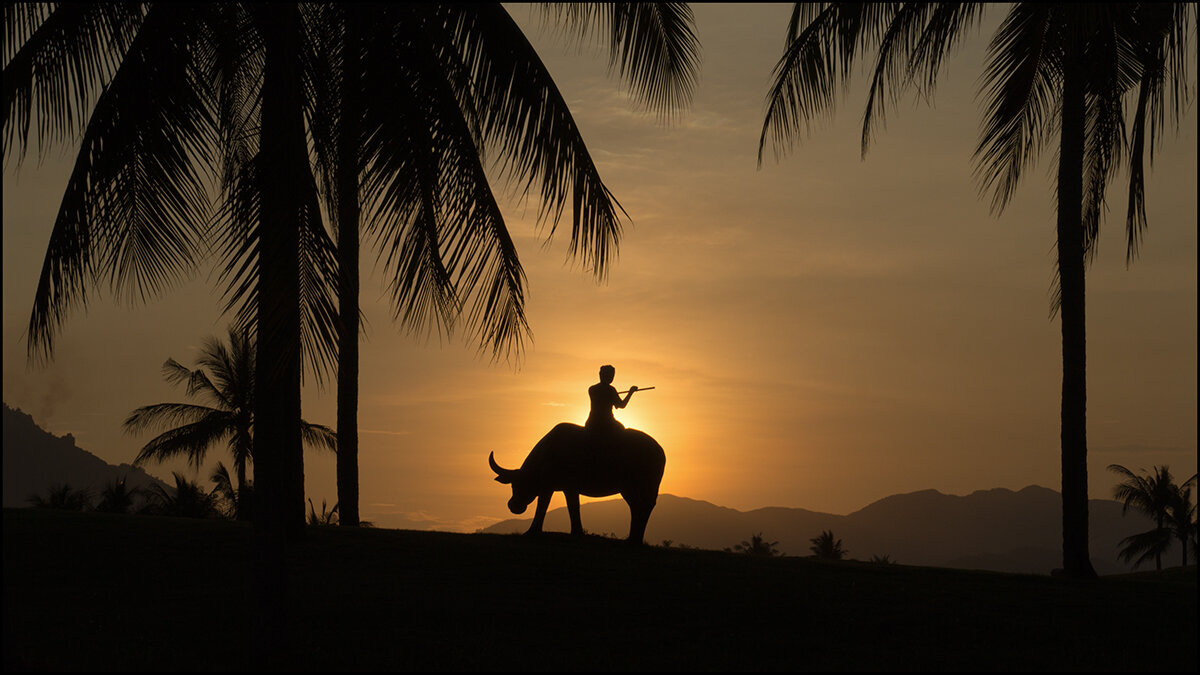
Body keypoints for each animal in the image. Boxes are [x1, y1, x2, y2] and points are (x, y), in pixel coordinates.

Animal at [492, 420, 672, 540]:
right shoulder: (563, 487)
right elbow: (569, 507)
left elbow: (546, 506)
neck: (546, 456)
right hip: (628, 489)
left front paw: (533, 531)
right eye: (512, 485)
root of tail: (660, 451)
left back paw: (636, 538)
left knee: (646, 506)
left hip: (645, 485)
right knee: (636, 507)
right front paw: (576, 531)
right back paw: (633, 537)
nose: (513, 505)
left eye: (521, 483)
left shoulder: (554, 486)